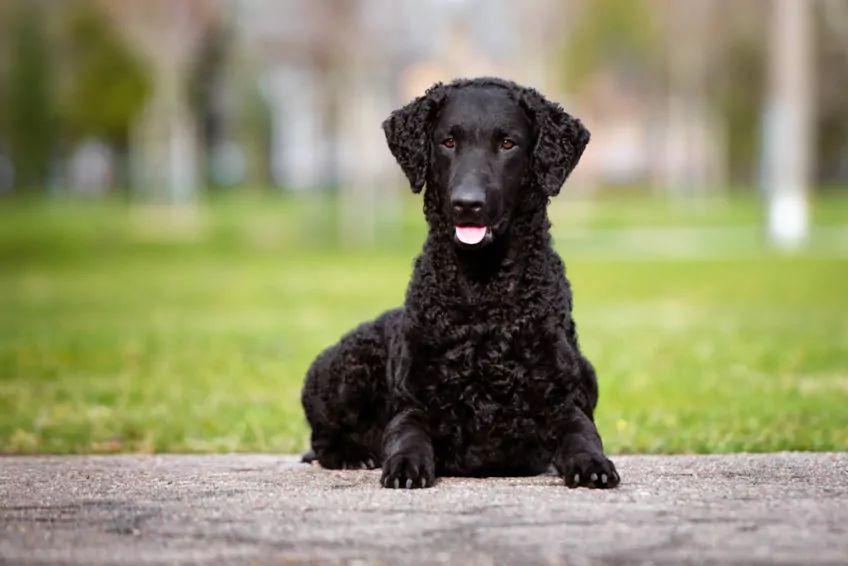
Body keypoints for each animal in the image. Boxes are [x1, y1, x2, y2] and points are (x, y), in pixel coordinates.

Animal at [302, 77, 620, 490]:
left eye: (507, 143)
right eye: (448, 141)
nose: (467, 204)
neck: (483, 294)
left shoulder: (563, 401)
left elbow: (582, 433)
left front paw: (592, 463)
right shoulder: (413, 403)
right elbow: (406, 435)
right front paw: (404, 465)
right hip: (346, 368)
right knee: (321, 438)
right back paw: (354, 455)